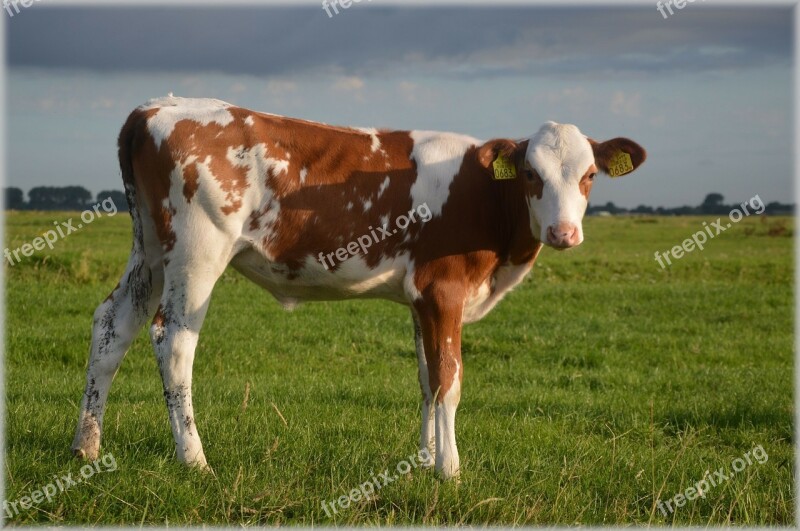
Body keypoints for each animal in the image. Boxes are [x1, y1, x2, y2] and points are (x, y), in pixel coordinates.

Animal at [70, 96, 644, 482]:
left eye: (590, 175)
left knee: (112, 326)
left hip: (150, 248)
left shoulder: (420, 297)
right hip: (197, 252)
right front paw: (450, 470)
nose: (563, 233)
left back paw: (86, 447)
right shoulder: (444, 290)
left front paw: (423, 461)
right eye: (529, 174)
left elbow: (426, 378)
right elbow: (449, 380)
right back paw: (194, 460)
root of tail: (155, 108)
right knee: (173, 341)